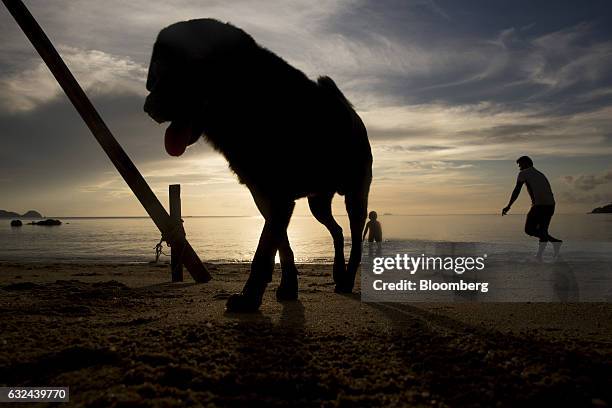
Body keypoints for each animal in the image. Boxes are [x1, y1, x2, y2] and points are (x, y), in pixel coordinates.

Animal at [145, 18, 370, 312]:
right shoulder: (264, 196)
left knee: (355, 237)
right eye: (156, 74)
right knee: (337, 231)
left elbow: (264, 251)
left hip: (356, 195)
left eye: (181, 69)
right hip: (318, 202)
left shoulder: (278, 198)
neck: (247, 99)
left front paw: (250, 298)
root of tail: (351, 113)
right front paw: (288, 288)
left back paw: (346, 280)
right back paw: (338, 273)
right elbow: (281, 245)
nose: (148, 107)